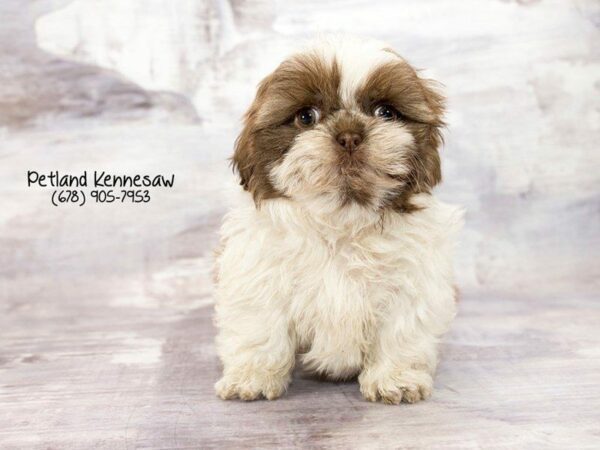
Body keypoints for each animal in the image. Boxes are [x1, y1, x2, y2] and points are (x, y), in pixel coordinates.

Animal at [213, 35, 462, 404]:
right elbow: (260, 327)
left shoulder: (412, 280)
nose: (349, 135)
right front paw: (253, 376)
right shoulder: (257, 274)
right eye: (306, 117)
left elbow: (401, 331)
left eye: (385, 112)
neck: (342, 219)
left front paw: (396, 379)